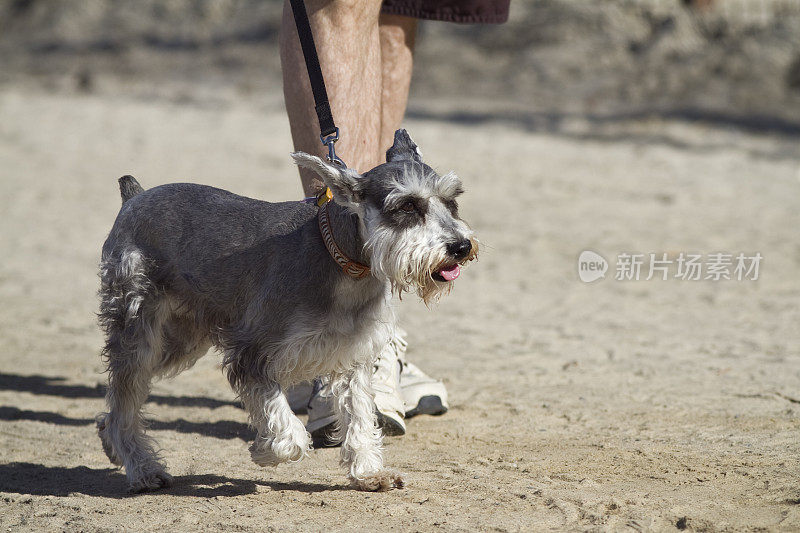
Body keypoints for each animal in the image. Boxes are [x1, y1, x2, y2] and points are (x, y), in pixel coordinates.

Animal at [97, 129, 478, 490]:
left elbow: (359, 416)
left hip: (180, 342)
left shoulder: (353, 358)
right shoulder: (252, 354)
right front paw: (265, 452)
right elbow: (288, 430)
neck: (341, 260)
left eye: (452, 200)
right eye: (408, 206)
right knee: (125, 399)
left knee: (116, 405)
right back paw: (143, 470)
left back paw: (112, 445)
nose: (460, 246)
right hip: (138, 333)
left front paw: (369, 473)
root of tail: (135, 197)